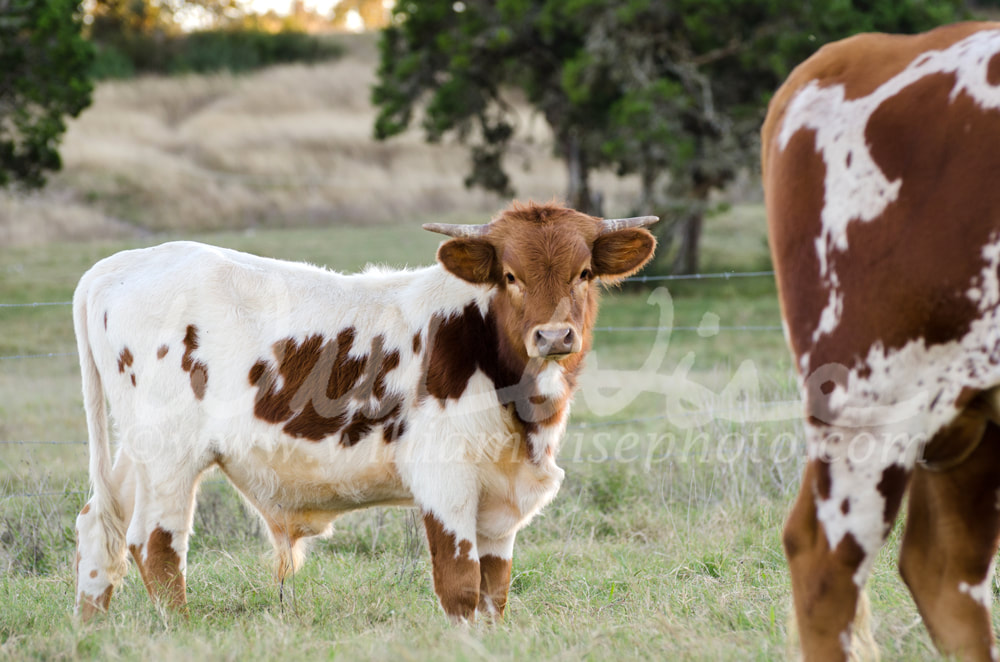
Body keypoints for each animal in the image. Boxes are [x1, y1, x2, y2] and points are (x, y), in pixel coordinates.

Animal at [70, 201, 656, 624]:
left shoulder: (501, 495)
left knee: (100, 526)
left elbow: (496, 593)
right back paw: (181, 632)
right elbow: (461, 588)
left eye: (584, 272)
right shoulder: (444, 479)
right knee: (154, 543)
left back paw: (92, 630)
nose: (554, 336)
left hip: (135, 452)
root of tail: (117, 265)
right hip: (168, 453)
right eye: (510, 275)